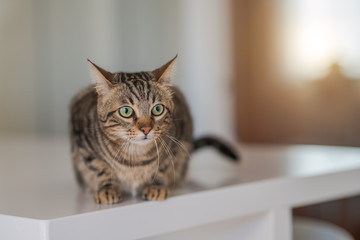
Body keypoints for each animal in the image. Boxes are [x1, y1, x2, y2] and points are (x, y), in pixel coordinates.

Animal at [70, 56, 239, 204]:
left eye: (157, 109)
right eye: (126, 111)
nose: (146, 129)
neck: (135, 158)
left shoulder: (177, 142)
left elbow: (162, 165)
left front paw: (156, 185)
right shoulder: (83, 143)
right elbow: (101, 168)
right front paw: (108, 189)